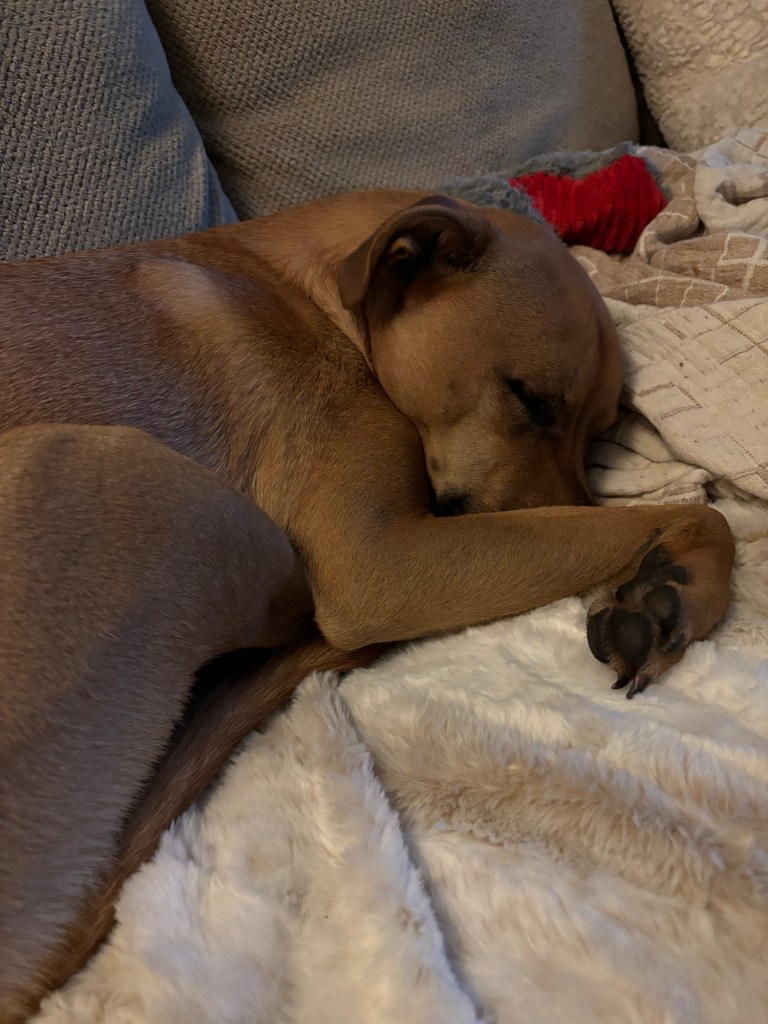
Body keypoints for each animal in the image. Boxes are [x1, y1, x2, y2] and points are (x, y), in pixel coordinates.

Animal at [0, 190, 734, 1020]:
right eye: (528, 397)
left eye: (603, 429)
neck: (317, 295)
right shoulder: (378, 563)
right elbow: (692, 515)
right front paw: (680, 582)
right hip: (143, 475)